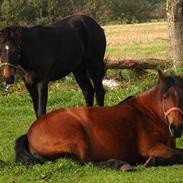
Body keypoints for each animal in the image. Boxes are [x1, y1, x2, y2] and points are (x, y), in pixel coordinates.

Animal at [15, 71, 183, 171]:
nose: (176, 128)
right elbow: (179, 154)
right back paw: (121, 164)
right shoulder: (151, 148)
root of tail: (30, 131)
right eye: (164, 97)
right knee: (86, 162)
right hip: (78, 139)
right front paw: (153, 161)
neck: (148, 114)